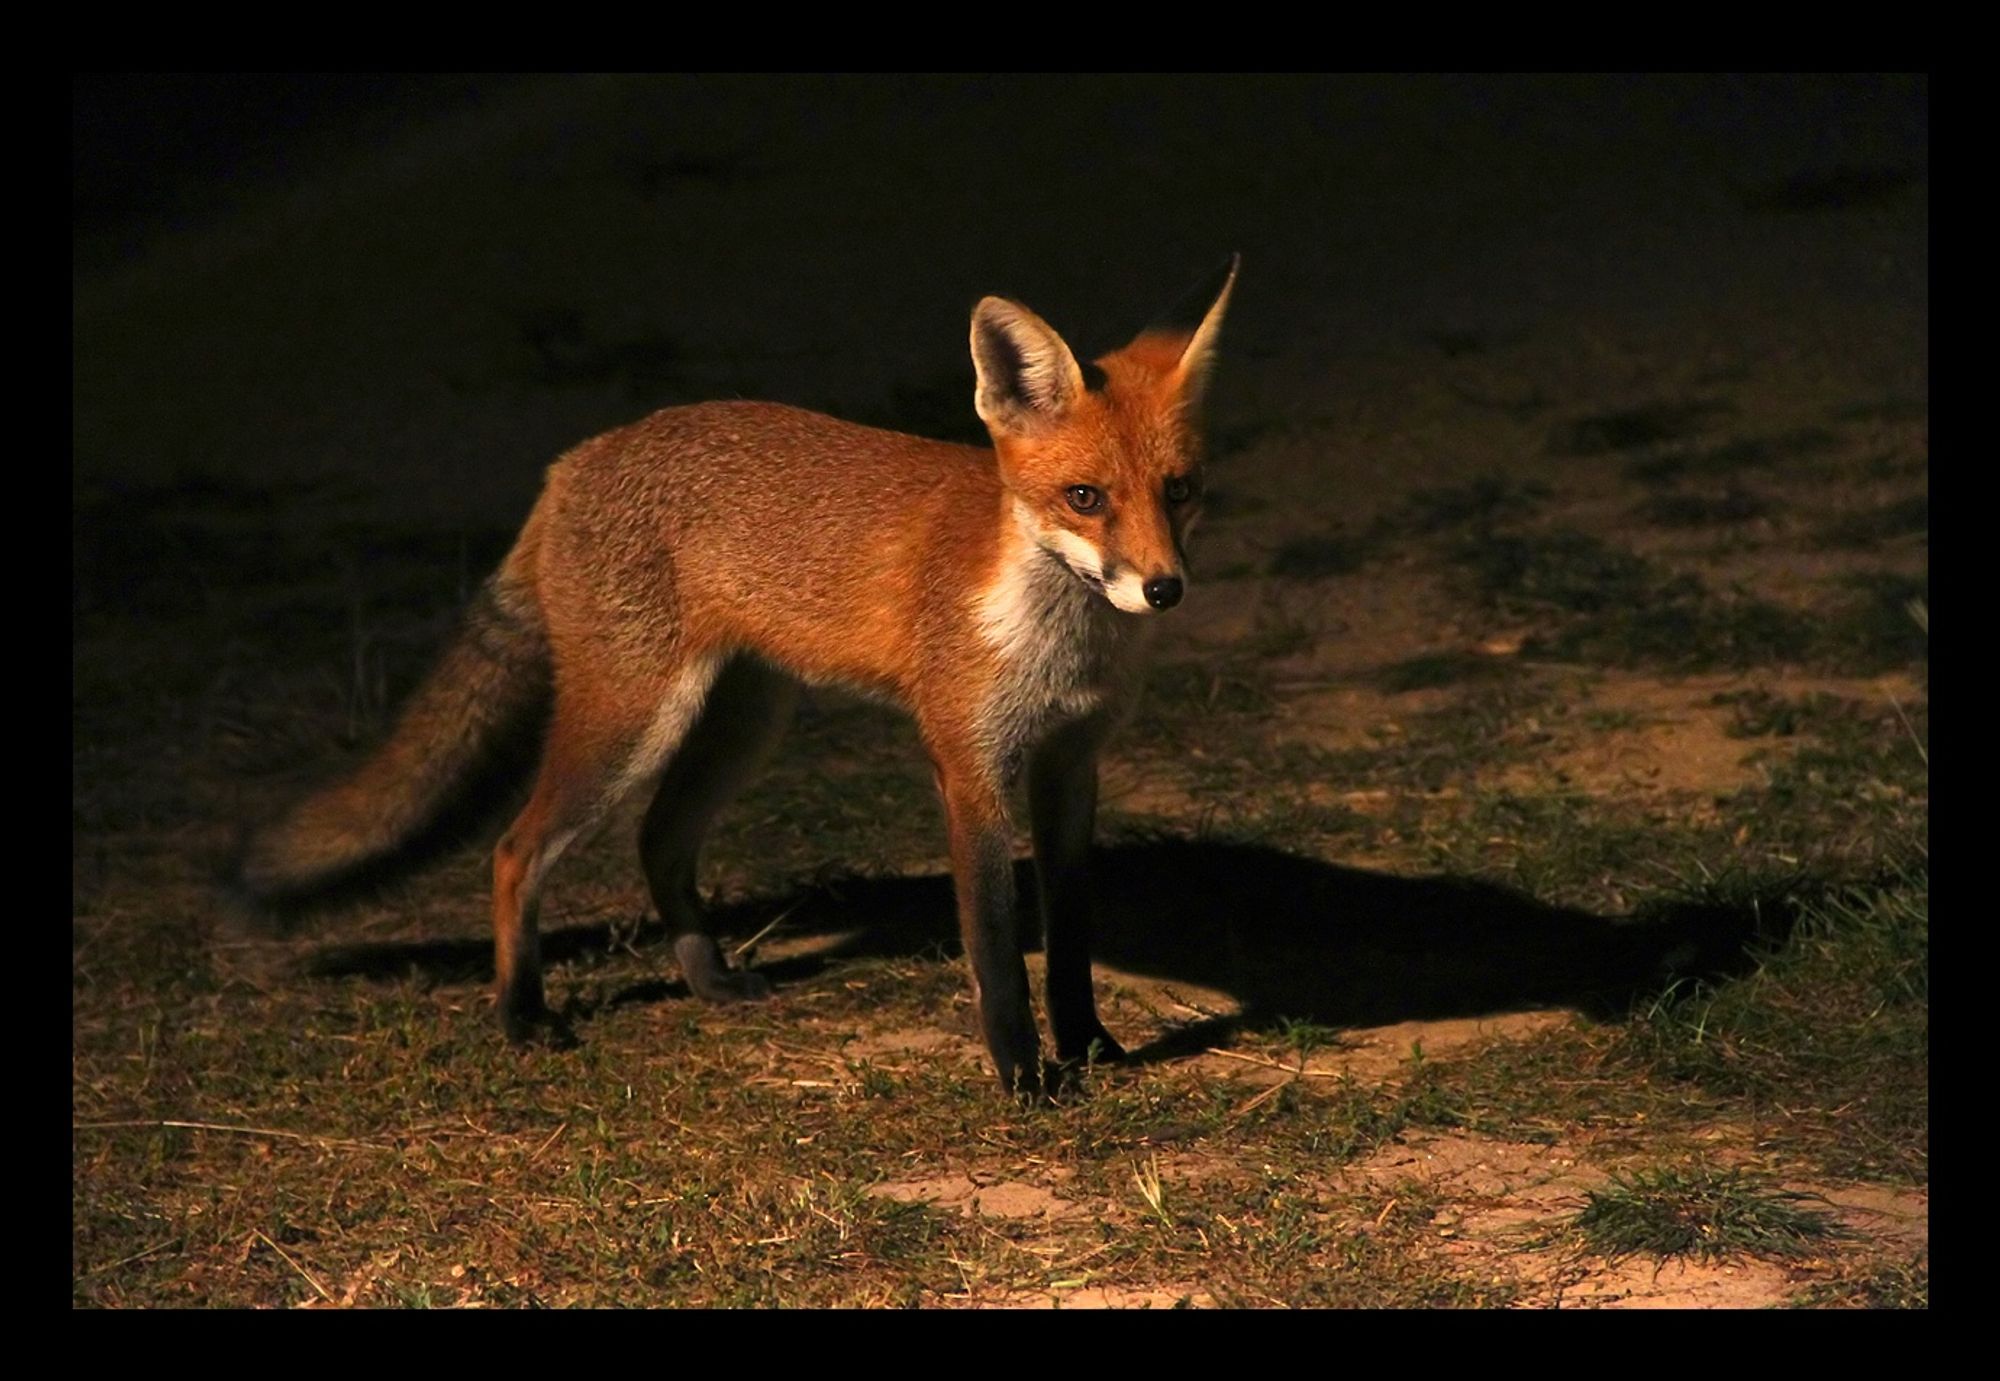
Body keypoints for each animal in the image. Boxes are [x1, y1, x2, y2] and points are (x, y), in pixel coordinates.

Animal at [230, 253, 1232, 1088]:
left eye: (1178, 490)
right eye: (1085, 497)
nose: (1164, 588)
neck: (1058, 636)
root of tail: (575, 459)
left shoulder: (1071, 762)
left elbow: (1070, 938)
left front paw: (1092, 1046)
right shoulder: (970, 767)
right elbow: (995, 951)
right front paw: (1027, 1078)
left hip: (743, 723)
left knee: (658, 840)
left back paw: (707, 980)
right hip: (629, 723)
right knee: (515, 852)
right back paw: (521, 1015)